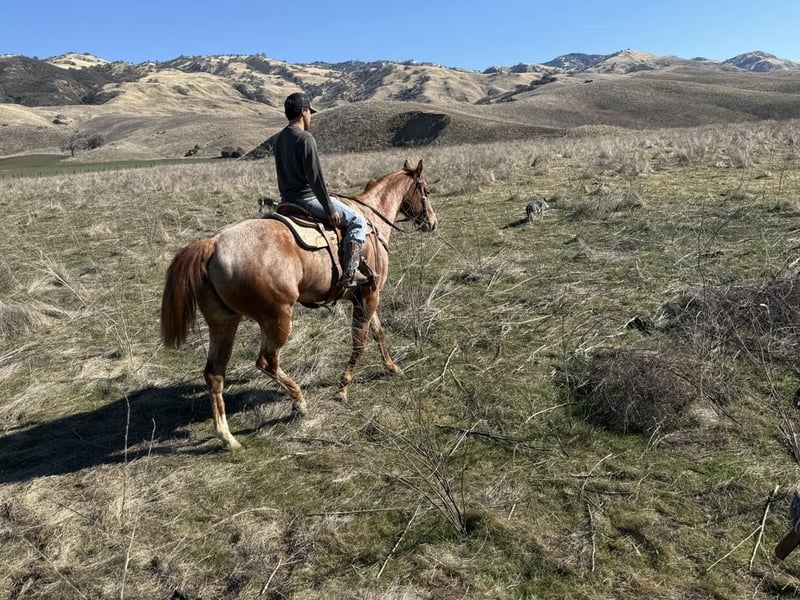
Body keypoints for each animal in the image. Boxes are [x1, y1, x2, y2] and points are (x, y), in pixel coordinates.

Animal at [160, 160, 437, 450]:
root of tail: (212, 245)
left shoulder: (362, 296)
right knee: (267, 362)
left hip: (224, 323)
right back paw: (299, 402)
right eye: (426, 191)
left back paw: (227, 437)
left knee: (214, 373)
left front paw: (392, 367)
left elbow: (377, 333)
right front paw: (343, 388)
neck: (369, 220)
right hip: (277, 317)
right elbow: (360, 342)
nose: (432, 222)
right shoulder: (370, 294)